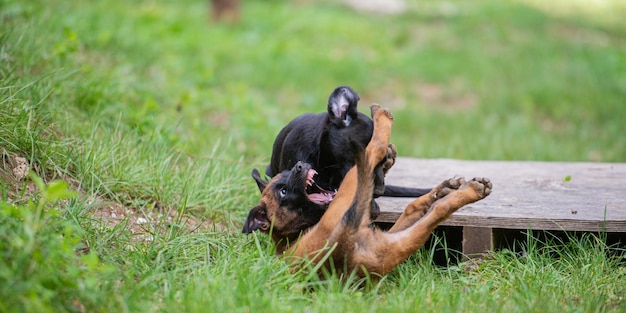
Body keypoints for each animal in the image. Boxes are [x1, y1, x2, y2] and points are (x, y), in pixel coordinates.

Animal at [246, 105, 490, 278]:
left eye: (286, 176)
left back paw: (445, 187)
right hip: (352, 192)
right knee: (377, 150)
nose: (299, 166)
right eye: (283, 192)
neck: (294, 232)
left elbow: (413, 209)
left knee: (416, 207)